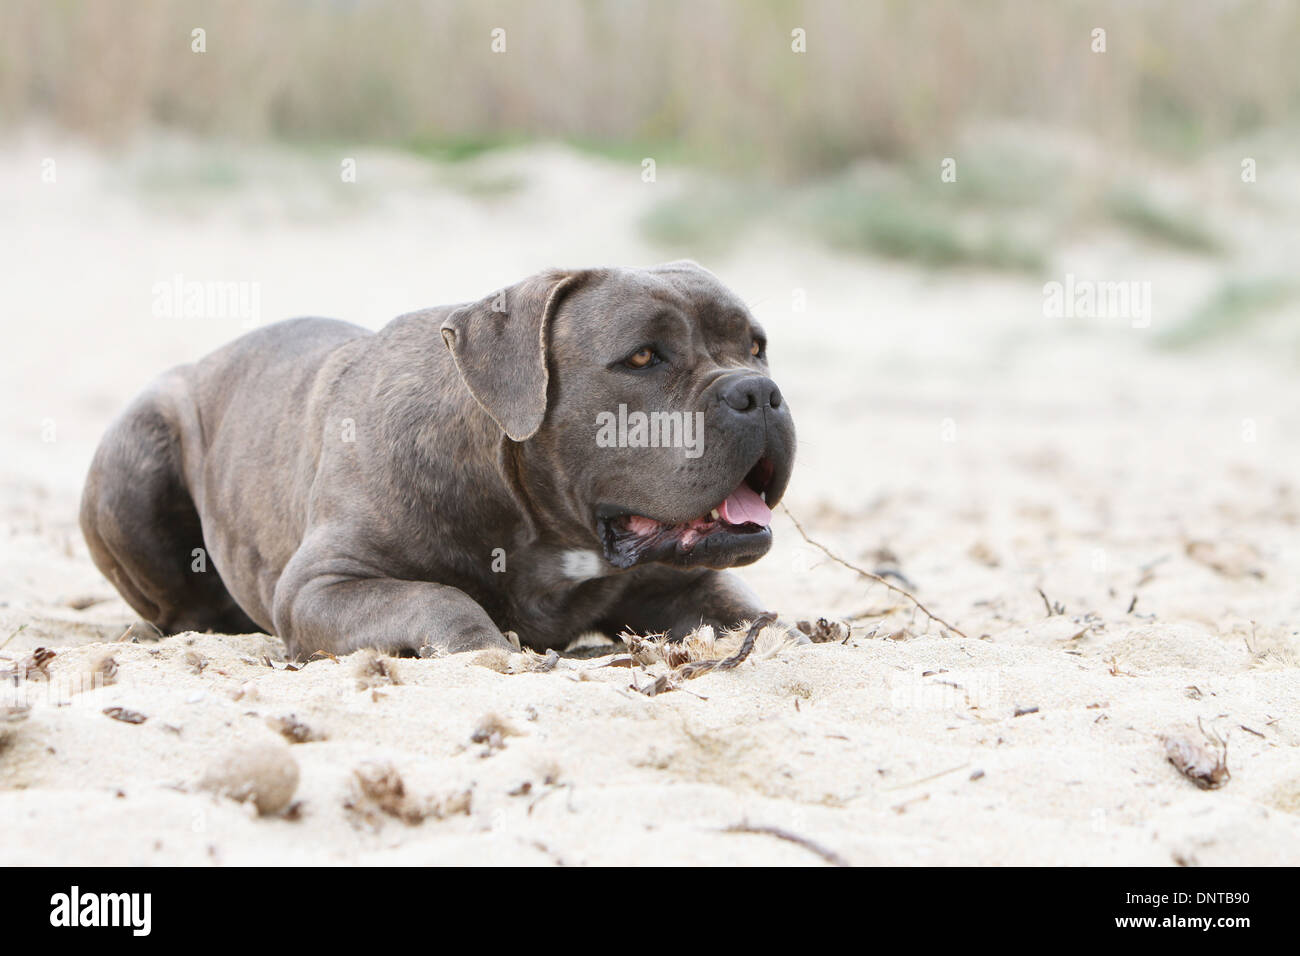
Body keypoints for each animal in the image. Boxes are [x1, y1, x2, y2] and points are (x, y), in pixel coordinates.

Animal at [81, 261, 795, 658]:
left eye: (757, 347)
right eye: (643, 356)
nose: (758, 393)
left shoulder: (684, 582)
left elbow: (748, 609)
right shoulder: (321, 585)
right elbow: (438, 600)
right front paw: (488, 648)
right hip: (136, 457)